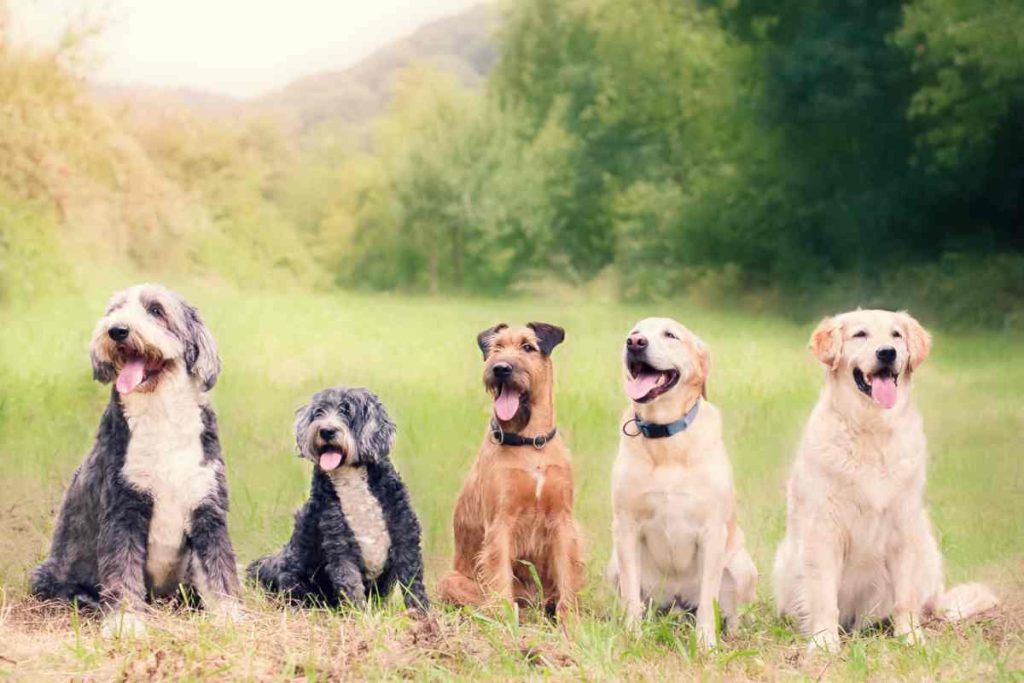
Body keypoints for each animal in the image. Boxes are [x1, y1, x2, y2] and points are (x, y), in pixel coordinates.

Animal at [30, 282, 239, 634]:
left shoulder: (207, 509)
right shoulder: (122, 509)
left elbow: (219, 568)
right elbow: (122, 571)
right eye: (115, 310)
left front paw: (229, 618)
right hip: (47, 575)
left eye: (156, 310)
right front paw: (125, 624)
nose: (117, 330)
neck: (161, 414)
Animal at [246, 387, 428, 610]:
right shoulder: (340, 544)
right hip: (294, 576)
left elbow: (413, 582)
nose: (326, 430)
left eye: (346, 411)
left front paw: (421, 613)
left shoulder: (404, 535)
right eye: (318, 412)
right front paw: (360, 615)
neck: (351, 477)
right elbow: (350, 585)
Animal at [440, 323, 585, 622]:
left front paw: (571, 623)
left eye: (528, 347)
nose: (500, 369)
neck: (530, 443)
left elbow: (568, 575)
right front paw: (505, 622)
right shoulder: (501, 522)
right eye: (496, 348)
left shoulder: (562, 520)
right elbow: (499, 578)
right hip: (450, 581)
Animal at [602, 317, 757, 651]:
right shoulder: (626, 525)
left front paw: (706, 644)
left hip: (741, 565)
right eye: (634, 332)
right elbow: (631, 595)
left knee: (731, 610)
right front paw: (632, 637)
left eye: (670, 335)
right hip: (614, 566)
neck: (666, 438)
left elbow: (709, 600)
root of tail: (676, 604)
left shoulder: (712, 531)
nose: (635, 343)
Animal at [770, 309, 995, 651]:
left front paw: (911, 638)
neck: (870, 429)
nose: (887, 353)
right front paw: (824, 643)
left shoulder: (904, 527)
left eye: (896, 335)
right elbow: (823, 596)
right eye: (860, 334)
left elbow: (906, 598)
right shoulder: (823, 529)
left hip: (927, 548)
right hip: (786, 559)